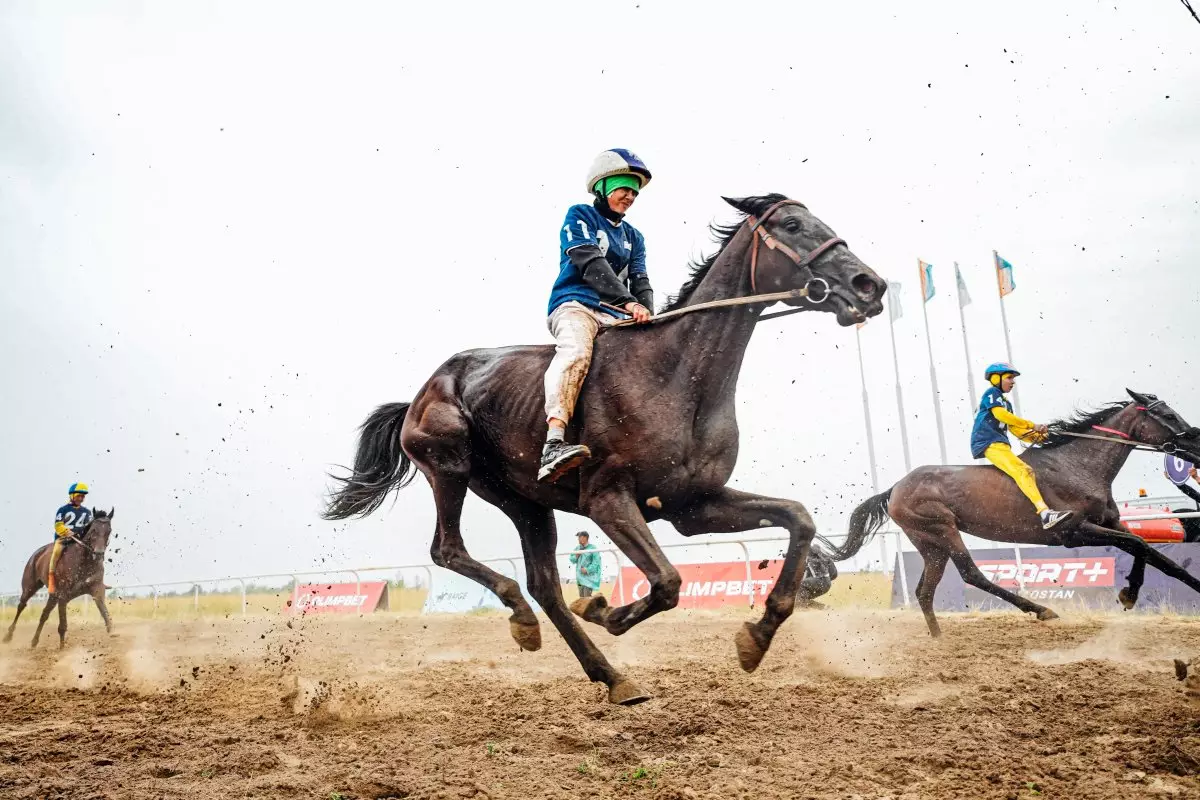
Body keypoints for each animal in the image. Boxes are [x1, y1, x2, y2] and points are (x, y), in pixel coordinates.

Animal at [3, 510, 117, 647]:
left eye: (109, 530)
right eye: (94, 529)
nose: (98, 553)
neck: (83, 562)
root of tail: (36, 554)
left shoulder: (96, 589)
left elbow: (105, 614)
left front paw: (112, 633)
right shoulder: (63, 595)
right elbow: (62, 626)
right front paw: (62, 649)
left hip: (53, 595)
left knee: (44, 614)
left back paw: (34, 641)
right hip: (30, 587)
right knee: (21, 605)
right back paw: (8, 635)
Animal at [324, 196, 888, 705]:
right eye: (792, 225)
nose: (871, 285)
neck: (675, 375)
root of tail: (420, 394)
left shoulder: (693, 506)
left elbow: (799, 519)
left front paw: (758, 634)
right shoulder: (608, 499)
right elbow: (666, 582)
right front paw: (603, 610)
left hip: (524, 501)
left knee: (544, 585)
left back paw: (609, 674)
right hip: (452, 467)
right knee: (449, 550)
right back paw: (525, 618)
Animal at [830, 393, 1200, 638]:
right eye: (1167, 415)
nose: (1196, 440)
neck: (1079, 466)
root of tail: (895, 488)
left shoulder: (1110, 523)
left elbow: (1150, 551)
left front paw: (1145, 591)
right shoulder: (1074, 532)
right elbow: (1143, 547)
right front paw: (1135, 593)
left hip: (930, 545)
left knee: (924, 590)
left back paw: (938, 637)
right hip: (941, 529)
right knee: (971, 574)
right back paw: (1042, 610)